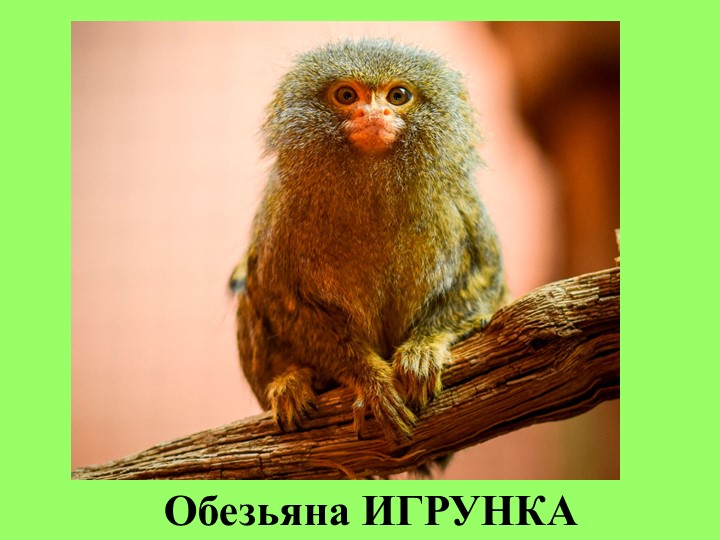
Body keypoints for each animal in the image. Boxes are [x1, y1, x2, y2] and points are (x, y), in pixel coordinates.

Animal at [231, 38, 508, 443]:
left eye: (398, 96)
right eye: (347, 95)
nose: (374, 113)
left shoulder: (461, 204)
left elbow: (484, 277)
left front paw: (423, 348)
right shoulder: (282, 216)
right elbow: (282, 299)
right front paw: (370, 380)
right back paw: (291, 380)